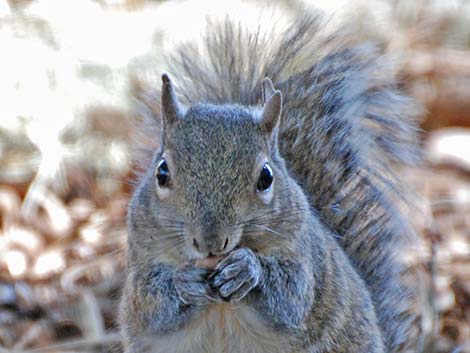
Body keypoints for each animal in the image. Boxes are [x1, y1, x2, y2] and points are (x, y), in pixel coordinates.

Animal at [119, 8, 420, 352]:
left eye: (266, 177)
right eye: (162, 172)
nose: (211, 243)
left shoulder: (303, 255)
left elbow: (289, 295)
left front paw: (247, 269)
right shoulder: (141, 259)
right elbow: (152, 302)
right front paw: (184, 282)